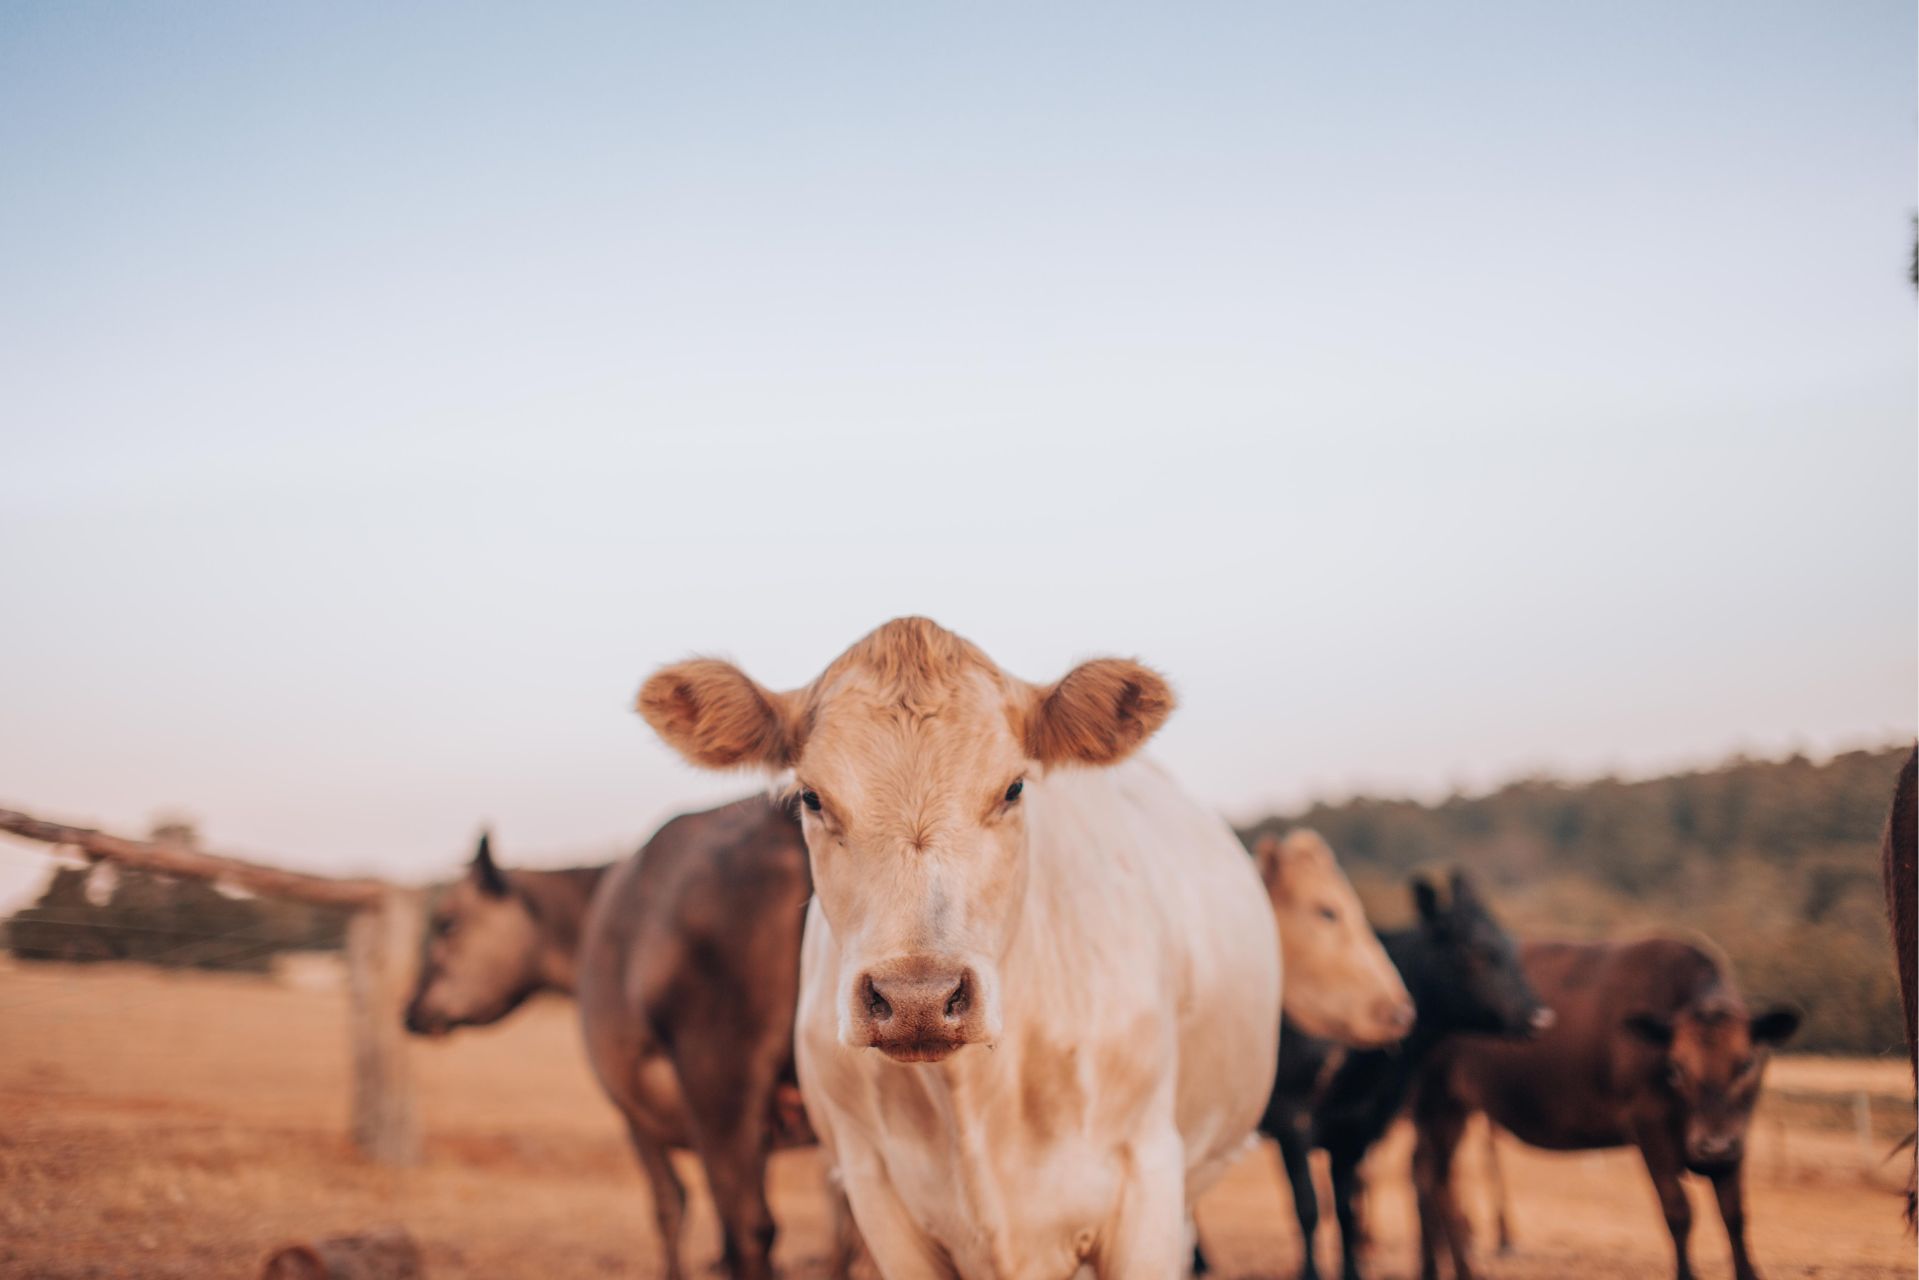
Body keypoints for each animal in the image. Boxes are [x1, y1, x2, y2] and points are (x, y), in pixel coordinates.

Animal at [1412, 936, 1796, 1280]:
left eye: (1747, 1064)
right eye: (1675, 1067)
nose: (1711, 1145)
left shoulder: (1736, 1139)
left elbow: (1735, 1215)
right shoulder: (1650, 1128)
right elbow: (1678, 1211)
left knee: (1426, 1173)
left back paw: (1434, 1268)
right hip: (1436, 1102)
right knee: (1439, 1181)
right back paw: (1464, 1270)